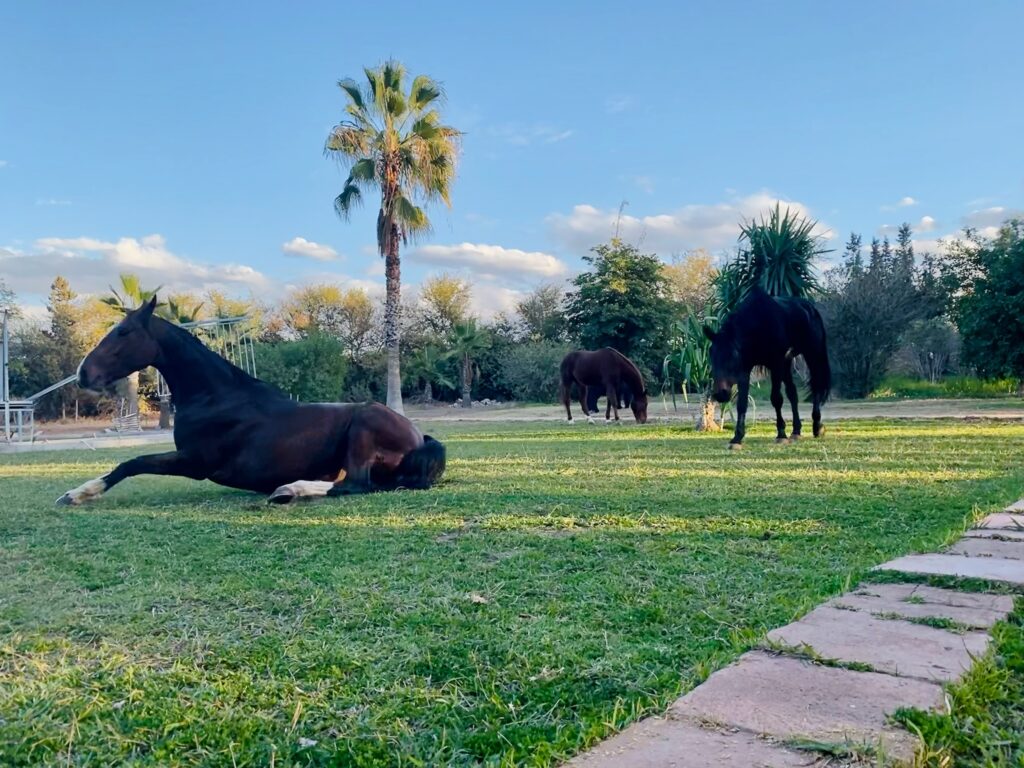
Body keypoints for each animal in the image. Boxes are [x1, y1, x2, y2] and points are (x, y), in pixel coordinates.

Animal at [57, 297, 446, 506]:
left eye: (123, 331)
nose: (83, 373)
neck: (217, 397)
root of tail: (418, 436)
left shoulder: (194, 462)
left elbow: (131, 463)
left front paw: (78, 494)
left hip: (363, 426)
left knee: (355, 484)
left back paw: (288, 489)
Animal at [703, 287, 830, 448]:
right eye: (711, 355)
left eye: (732, 355)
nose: (720, 394)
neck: (759, 326)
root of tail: (810, 308)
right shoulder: (745, 370)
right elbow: (742, 403)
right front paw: (737, 438)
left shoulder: (775, 365)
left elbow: (776, 399)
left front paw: (781, 434)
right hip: (787, 362)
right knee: (792, 393)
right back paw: (796, 431)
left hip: (812, 354)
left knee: (815, 387)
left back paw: (817, 426)